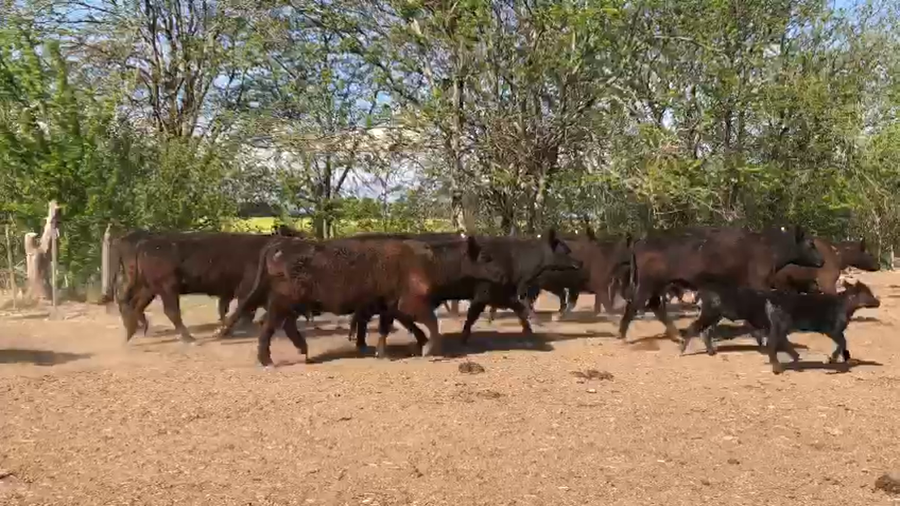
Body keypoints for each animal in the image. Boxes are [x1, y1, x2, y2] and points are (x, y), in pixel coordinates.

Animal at [216, 234, 506, 366]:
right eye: (485, 258)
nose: (502, 275)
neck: (428, 262)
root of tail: (284, 244)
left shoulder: (389, 305)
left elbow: (386, 328)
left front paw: (382, 352)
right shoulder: (411, 304)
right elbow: (433, 324)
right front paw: (430, 349)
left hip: (291, 303)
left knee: (284, 325)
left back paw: (302, 350)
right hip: (284, 300)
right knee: (269, 325)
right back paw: (267, 359)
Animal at [618, 225, 824, 342]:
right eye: (810, 243)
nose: (822, 261)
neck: (768, 246)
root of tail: (642, 240)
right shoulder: (760, 283)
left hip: (659, 284)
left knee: (655, 305)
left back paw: (676, 335)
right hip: (648, 283)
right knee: (636, 304)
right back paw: (622, 335)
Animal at [681, 280, 880, 374]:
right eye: (867, 293)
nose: (877, 301)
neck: (843, 305)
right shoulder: (833, 330)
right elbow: (843, 342)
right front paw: (835, 359)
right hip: (712, 315)